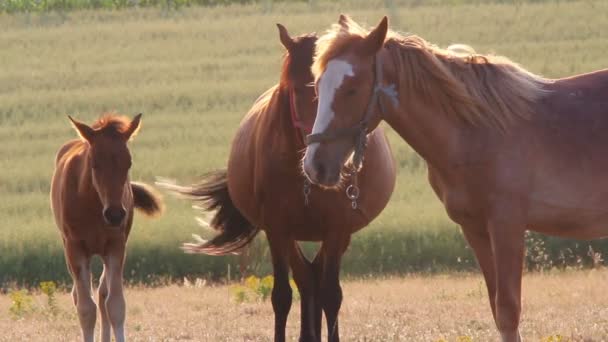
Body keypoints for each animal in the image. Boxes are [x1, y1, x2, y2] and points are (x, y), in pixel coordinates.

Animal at [50, 114, 163, 342]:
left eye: (129, 163)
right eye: (94, 163)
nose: (115, 214)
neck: (93, 205)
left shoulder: (116, 246)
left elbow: (116, 305)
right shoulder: (75, 248)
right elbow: (86, 308)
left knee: (103, 294)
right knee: (80, 295)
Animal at [159, 24, 394, 342]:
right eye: (297, 90)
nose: (316, 160)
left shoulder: (336, 228)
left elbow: (332, 295)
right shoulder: (276, 227)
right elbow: (281, 296)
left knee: (315, 278)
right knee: (306, 277)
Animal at [302, 14, 608, 340]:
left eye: (352, 88)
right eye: (318, 85)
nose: (315, 165)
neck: (475, 131)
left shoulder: (507, 226)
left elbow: (509, 310)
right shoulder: (474, 229)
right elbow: (497, 309)